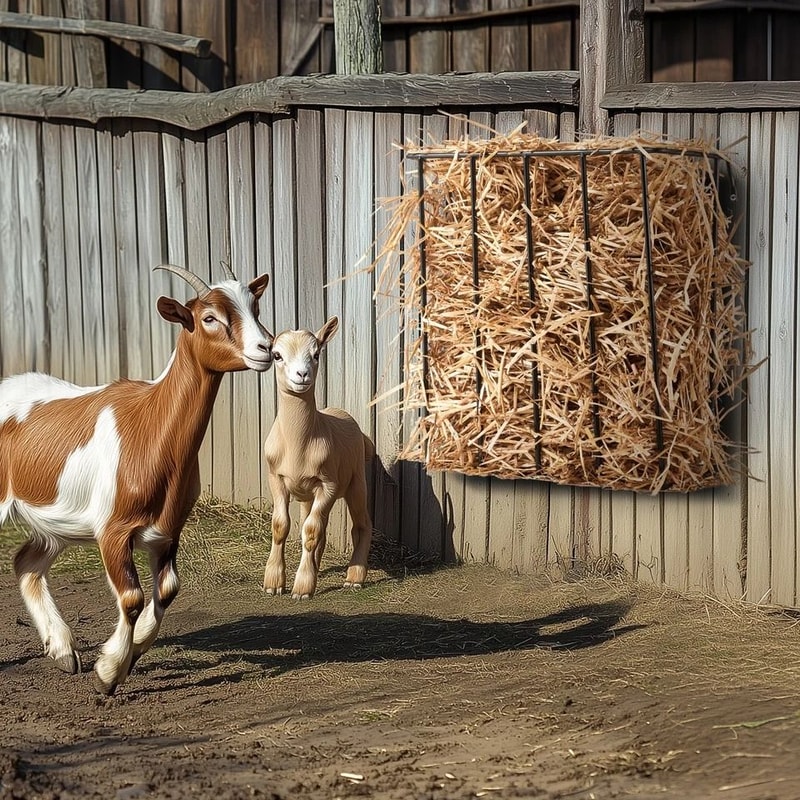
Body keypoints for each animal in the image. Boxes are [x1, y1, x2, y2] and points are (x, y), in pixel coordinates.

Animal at [1, 264, 272, 694]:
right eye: (209, 317)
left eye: (255, 307)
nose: (267, 348)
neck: (149, 425)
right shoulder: (112, 530)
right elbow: (131, 597)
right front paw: (108, 673)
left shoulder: (168, 529)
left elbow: (167, 589)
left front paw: (132, 651)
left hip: (56, 527)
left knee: (26, 562)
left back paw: (63, 653)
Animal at [263, 316, 373, 599]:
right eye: (276, 355)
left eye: (316, 354)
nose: (302, 375)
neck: (298, 444)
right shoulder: (276, 479)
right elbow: (281, 526)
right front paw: (273, 583)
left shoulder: (328, 485)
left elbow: (311, 532)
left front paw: (302, 587)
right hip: (308, 496)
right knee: (317, 526)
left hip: (356, 482)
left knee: (361, 525)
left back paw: (354, 578)